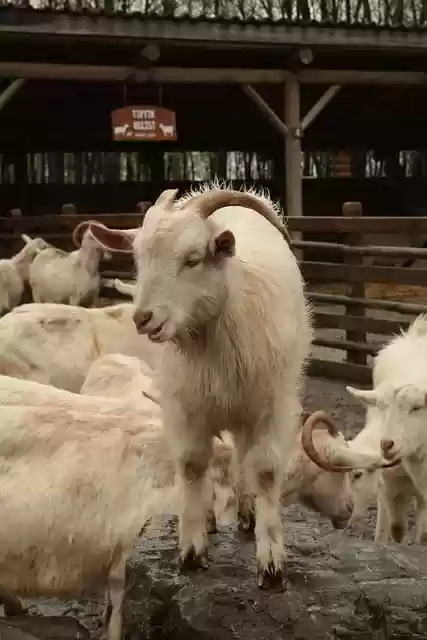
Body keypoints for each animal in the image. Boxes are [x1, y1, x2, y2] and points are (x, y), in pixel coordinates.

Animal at [71, 184, 314, 589]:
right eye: (138, 258)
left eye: (194, 258)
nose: (144, 318)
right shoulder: (184, 405)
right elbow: (191, 466)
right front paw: (192, 547)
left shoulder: (272, 406)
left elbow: (264, 470)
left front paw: (271, 564)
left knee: (242, 459)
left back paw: (247, 513)